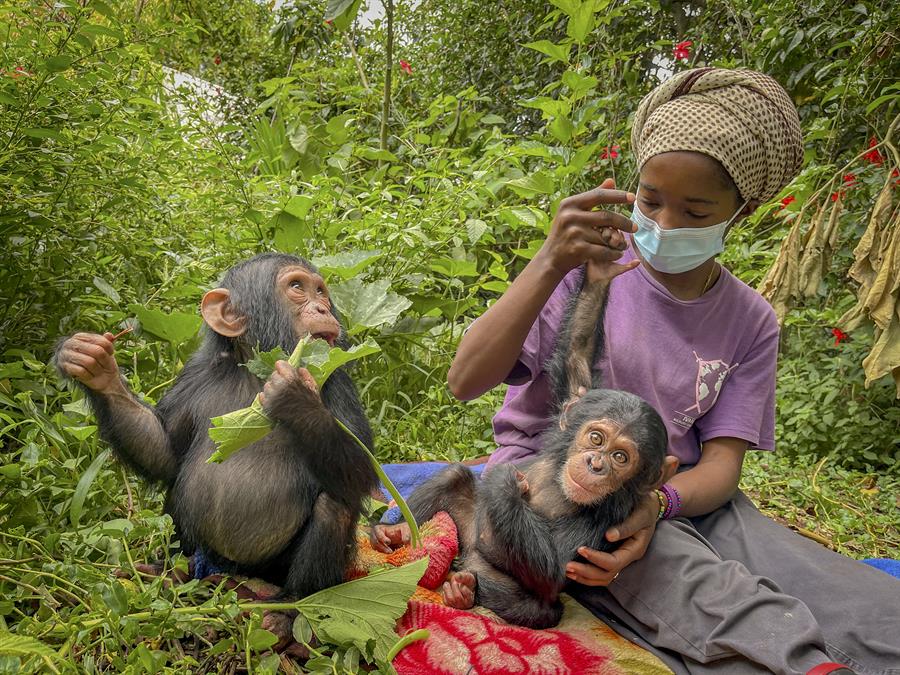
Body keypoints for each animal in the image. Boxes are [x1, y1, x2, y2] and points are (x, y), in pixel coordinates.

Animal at [55, 252, 380, 596]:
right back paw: (167, 572)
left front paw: (293, 395)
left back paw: (289, 603)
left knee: (335, 503)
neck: (254, 369)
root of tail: (233, 570)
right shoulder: (194, 375)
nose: (322, 308)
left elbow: (360, 469)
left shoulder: (337, 380)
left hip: (274, 570)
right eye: (296, 287)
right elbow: (164, 453)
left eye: (320, 291)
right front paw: (97, 368)